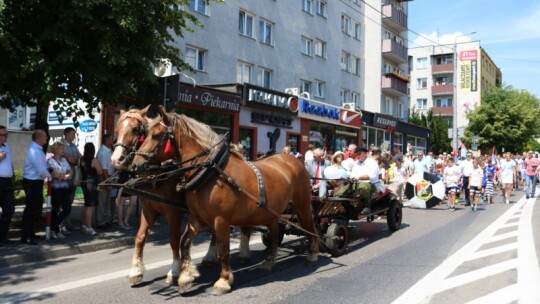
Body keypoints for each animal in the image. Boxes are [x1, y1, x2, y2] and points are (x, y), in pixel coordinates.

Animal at [110, 106, 253, 284]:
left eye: (135, 129)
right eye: (117, 130)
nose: (116, 160)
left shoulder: (173, 213)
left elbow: (173, 240)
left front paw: (175, 270)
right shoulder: (149, 210)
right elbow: (140, 237)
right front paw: (136, 271)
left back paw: (244, 252)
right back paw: (210, 256)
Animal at [130, 106, 316, 294]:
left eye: (156, 135)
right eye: (145, 134)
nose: (134, 165)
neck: (210, 171)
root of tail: (292, 159)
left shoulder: (221, 219)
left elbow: (223, 248)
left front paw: (224, 280)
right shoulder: (198, 217)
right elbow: (184, 241)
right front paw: (186, 276)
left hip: (302, 204)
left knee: (309, 226)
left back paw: (313, 253)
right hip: (270, 212)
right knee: (275, 231)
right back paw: (270, 261)